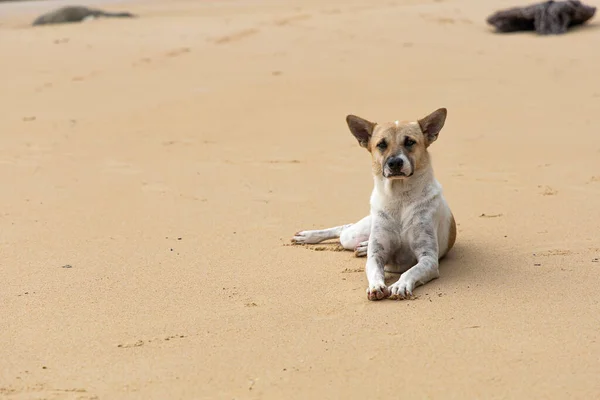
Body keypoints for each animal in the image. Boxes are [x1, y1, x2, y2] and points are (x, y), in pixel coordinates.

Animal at [292, 108, 458, 302]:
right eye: (381, 144)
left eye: (410, 142)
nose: (395, 163)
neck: (399, 198)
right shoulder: (376, 256)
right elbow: (375, 271)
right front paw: (376, 286)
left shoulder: (428, 259)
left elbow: (410, 271)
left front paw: (400, 285)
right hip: (355, 235)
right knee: (344, 229)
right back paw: (309, 236)